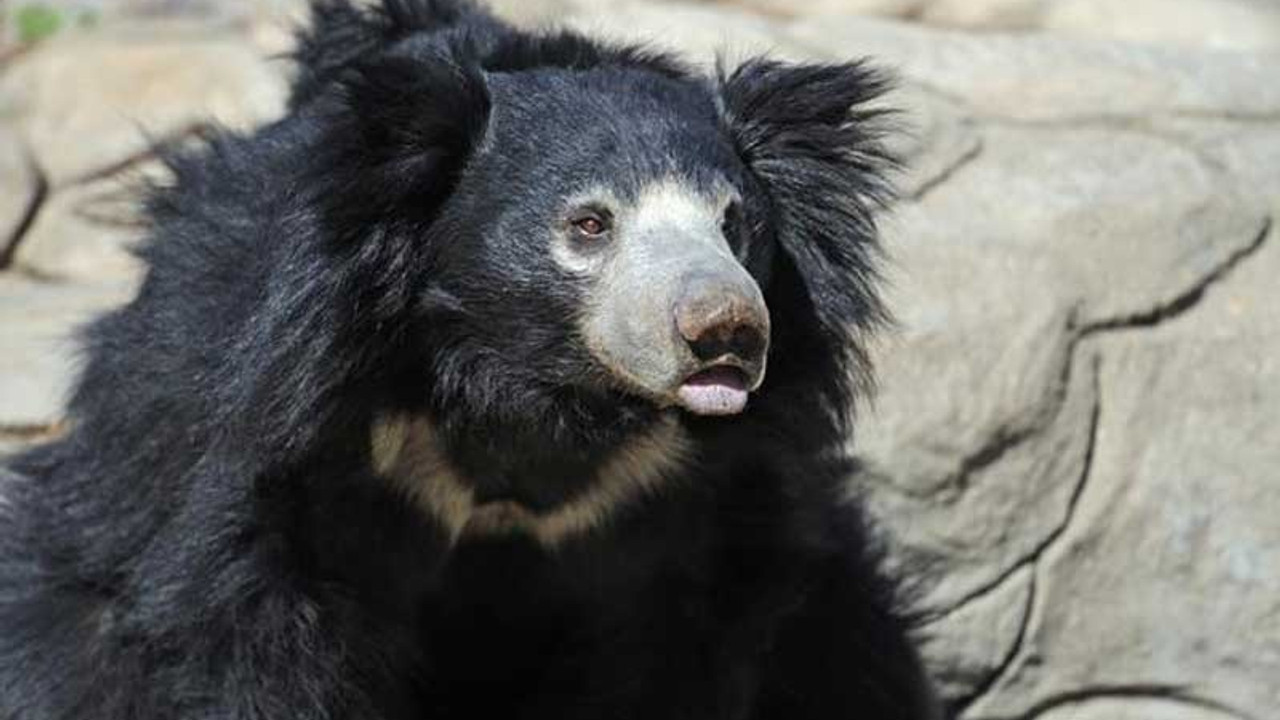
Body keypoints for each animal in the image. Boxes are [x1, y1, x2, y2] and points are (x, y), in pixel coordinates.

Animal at [0, 1, 942, 717]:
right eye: (589, 224)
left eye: (735, 221)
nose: (724, 330)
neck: (530, 385)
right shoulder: (295, 439)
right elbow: (251, 630)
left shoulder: (691, 506)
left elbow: (681, 649)